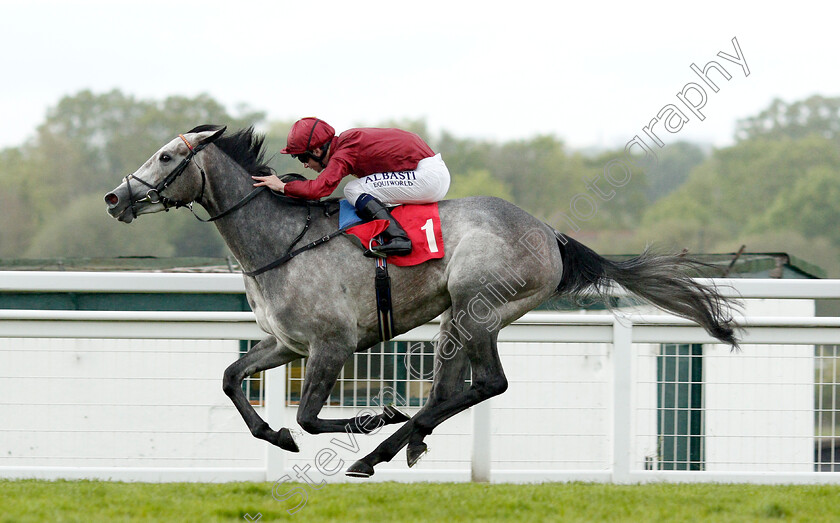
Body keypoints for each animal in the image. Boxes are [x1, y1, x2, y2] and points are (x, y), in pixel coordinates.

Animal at [103, 127, 736, 478]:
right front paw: (274, 436)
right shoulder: (286, 343)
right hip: (458, 317)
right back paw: (398, 447)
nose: (114, 197)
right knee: (453, 390)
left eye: (166, 157)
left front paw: (373, 415)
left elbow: (308, 416)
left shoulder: (332, 344)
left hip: (477, 307)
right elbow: (233, 378)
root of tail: (550, 233)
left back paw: (380, 447)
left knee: (487, 384)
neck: (279, 242)